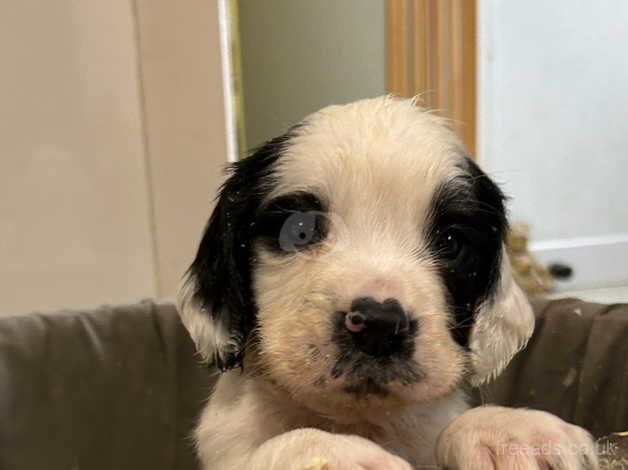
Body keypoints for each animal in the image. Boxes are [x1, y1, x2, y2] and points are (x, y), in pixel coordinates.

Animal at [178, 97, 600, 468]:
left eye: (451, 242)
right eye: (300, 231)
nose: (378, 325)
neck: (356, 419)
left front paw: (511, 432)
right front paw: (333, 454)